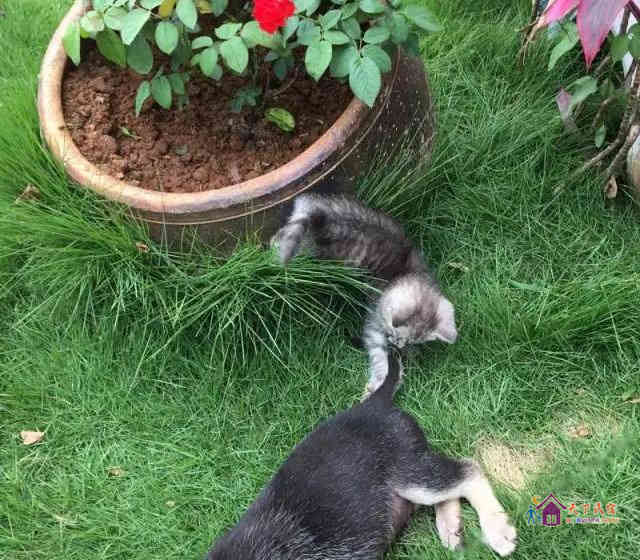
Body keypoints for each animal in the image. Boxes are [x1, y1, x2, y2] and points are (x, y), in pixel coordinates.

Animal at [271, 193, 457, 396]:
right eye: (394, 335)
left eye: (407, 340)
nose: (396, 345)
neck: (405, 273)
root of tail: (322, 214)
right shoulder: (374, 323)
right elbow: (379, 354)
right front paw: (379, 383)